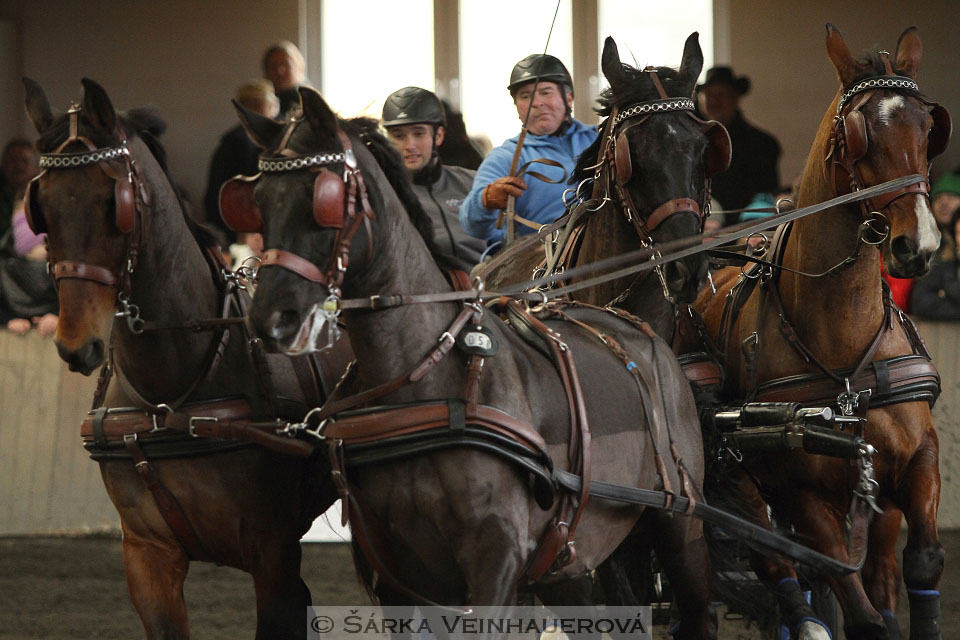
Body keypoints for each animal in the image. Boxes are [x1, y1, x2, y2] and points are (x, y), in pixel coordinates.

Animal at [22, 77, 348, 636]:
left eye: (113, 202)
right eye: (40, 205)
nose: (76, 343)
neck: (171, 395)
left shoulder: (275, 557)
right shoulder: (147, 556)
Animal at [229, 84, 716, 636]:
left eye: (326, 199)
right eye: (257, 204)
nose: (271, 317)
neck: (424, 379)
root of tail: (631, 324)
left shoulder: (495, 558)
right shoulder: (399, 575)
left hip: (681, 523)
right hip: (569, 557)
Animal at [688, 25, 948, 640]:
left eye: (929, 127)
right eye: (857, 133)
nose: (920, 245)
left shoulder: (915, 461)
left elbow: (920, 562)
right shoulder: (799, 492)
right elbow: (851, 600)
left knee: (876, 572)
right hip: (740, 474)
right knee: (775, 562)